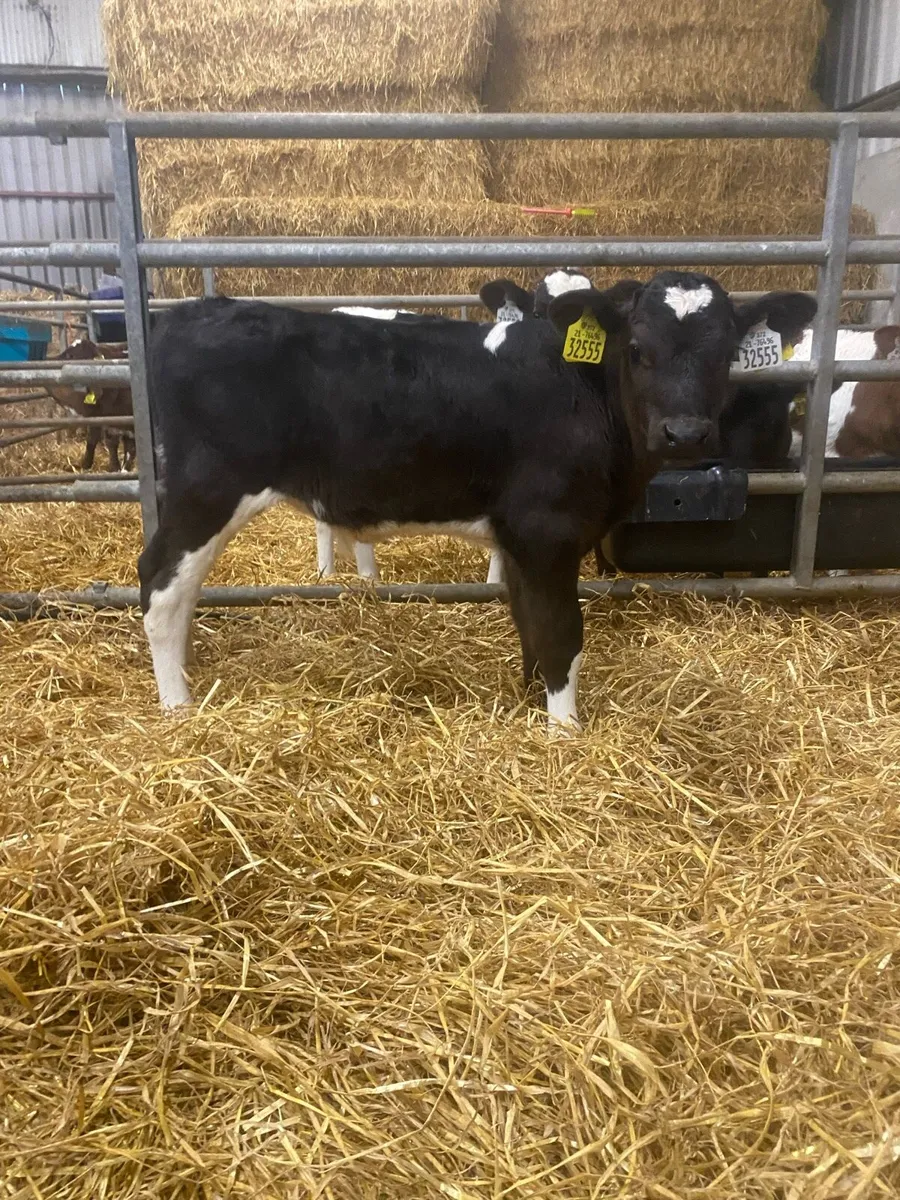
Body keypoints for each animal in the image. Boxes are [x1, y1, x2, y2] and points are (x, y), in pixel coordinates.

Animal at [139, 273, 814, 730]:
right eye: (637, 349)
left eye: (725, 353)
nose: (686, 433)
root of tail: (189, 316)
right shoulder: (547, 528)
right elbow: (561, 631)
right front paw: (565, 731)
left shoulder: (519, 538)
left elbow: (529, 625)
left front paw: (531, 702)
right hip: (210, 487)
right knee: (161, 584)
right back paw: (177, 706)